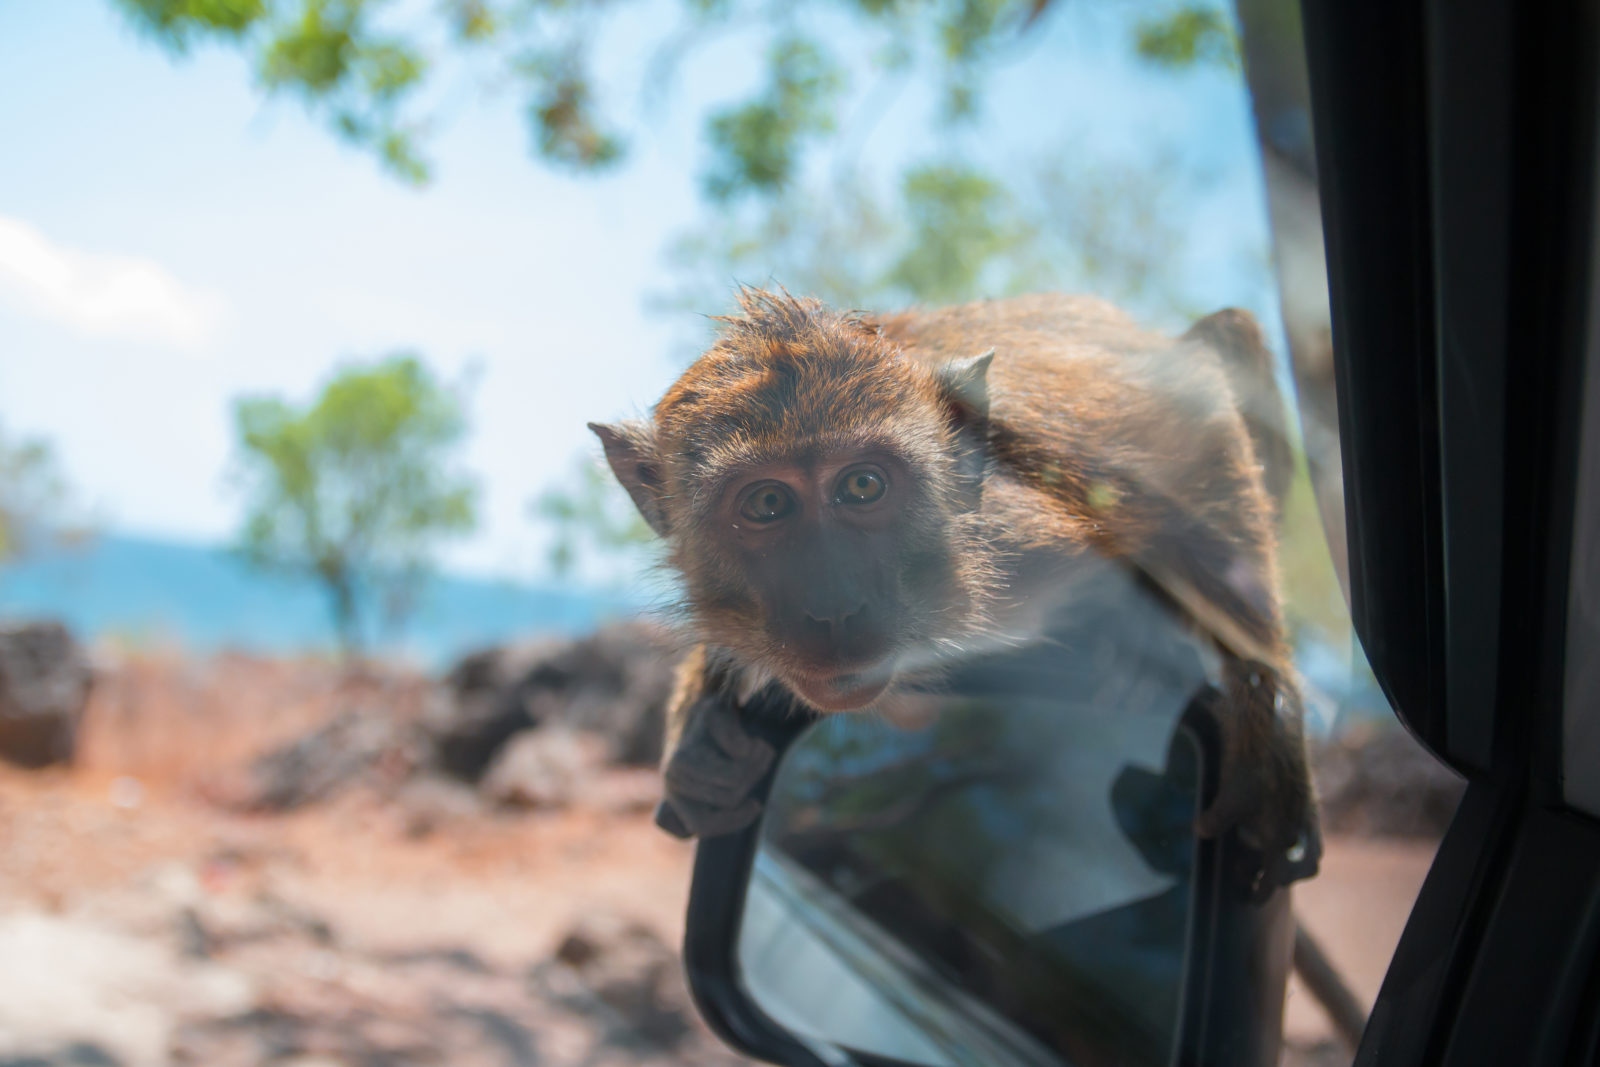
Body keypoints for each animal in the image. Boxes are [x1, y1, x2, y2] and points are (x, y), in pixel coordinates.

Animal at [595, 287, 1318, 895]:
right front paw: (700, 753)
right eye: (768, 503)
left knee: (1230, 338)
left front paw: (1267, 734)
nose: (834, 607)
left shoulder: (1041, 501)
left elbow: (1203, 427)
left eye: (863, 486)